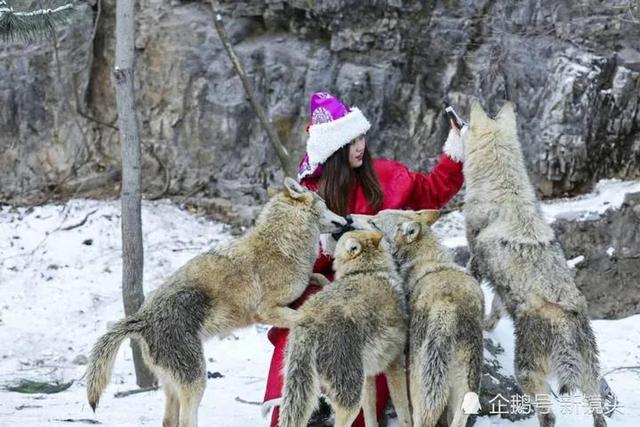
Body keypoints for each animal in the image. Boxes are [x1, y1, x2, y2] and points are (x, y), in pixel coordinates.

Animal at [86, 177, 350, 427]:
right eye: (326, 203)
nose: (347, 220)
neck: (283, 245)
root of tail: (141, 317)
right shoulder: (267, 311)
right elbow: (302, 311)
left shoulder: (301, 284)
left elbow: (317, 278)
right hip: (197, 380)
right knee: (186, 421)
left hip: (174, 387)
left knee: (169, 420)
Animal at [278, 231, 410, 427]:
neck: (368, 271)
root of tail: (308, 325)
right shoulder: (393, 364)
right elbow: (403, 410)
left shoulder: (369, 377)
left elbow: (370, 414)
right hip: (351, 401)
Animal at [352, 210, 482, 427]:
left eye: (374, 222)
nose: (348, 218)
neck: (425, 260)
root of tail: (447, 309)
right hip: (465, 389)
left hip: (419, 384)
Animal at [462, 101, 608, 427]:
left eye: (464, 124)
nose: (457, 119)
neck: (503, 188)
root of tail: (566, 324)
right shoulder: (501, 287)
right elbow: (496, 308)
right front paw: (488, 325)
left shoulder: (476, 257)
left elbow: (469, 278)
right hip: (590, 374)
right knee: (598, 413)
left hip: (527, 374)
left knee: (549, 415)